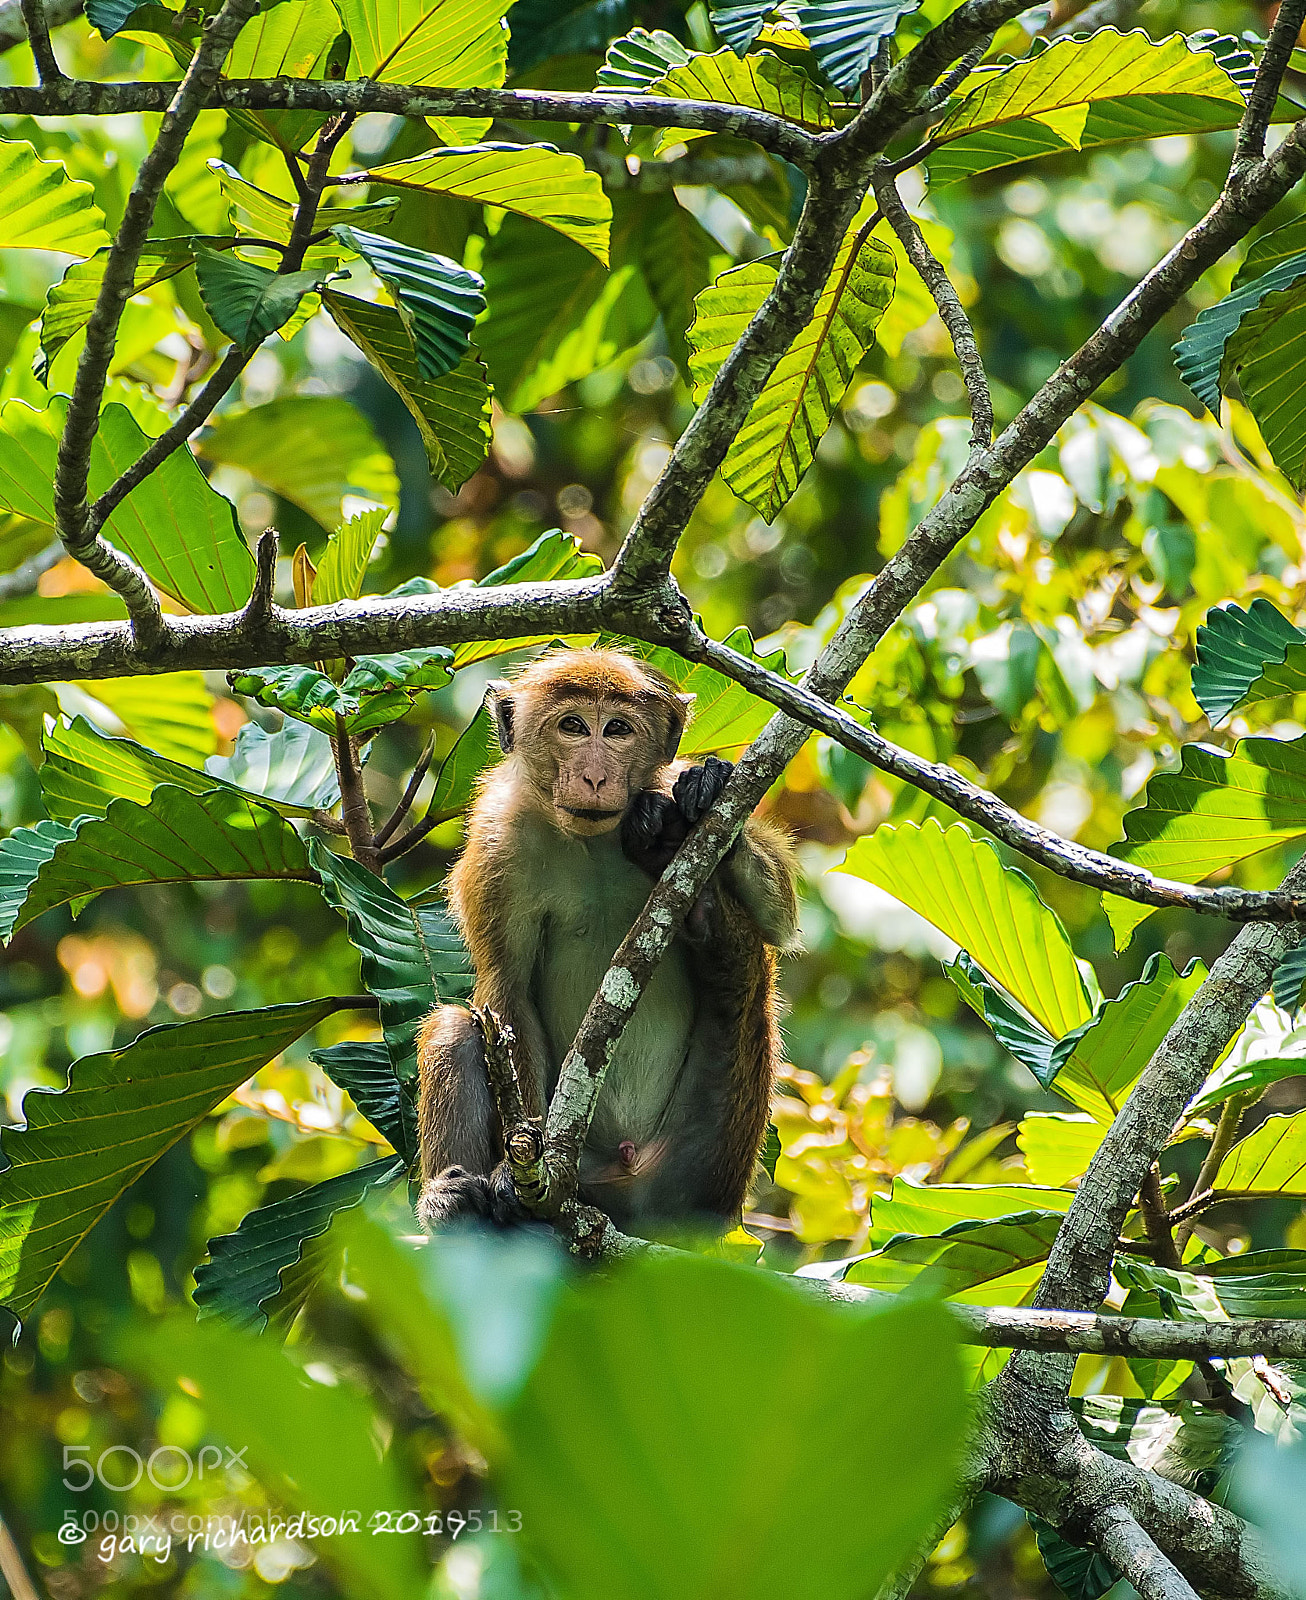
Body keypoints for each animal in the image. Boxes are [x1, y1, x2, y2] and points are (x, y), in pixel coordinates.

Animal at [415, 647, 797, 1237]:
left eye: (617, 729)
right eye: (573, 727)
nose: (594, 775)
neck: (591, 841)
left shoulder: (661, 783)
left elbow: (779, 918)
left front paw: (705, 790)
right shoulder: (496, 844)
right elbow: (508, 996)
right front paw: (511, 1178)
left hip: (712, 1163)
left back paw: (692, 891)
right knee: (456, 1026)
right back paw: (455, 1206)